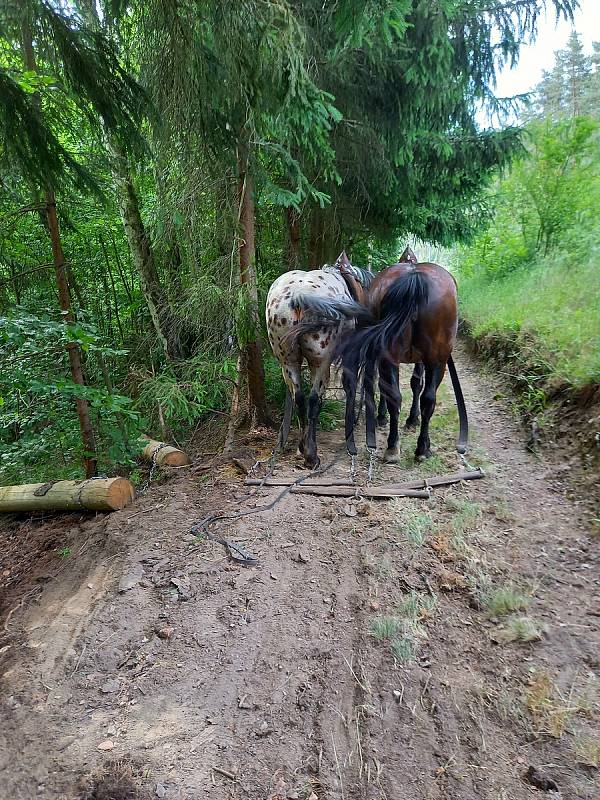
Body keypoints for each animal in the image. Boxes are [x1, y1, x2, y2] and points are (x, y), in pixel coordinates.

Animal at [266, 253, 372, 468]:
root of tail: (298, 295)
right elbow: (349, 388)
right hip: (320, 362)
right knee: (314, 400)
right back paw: (311, 455)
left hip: (288, 361)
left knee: (299, 397)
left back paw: (302, 448)